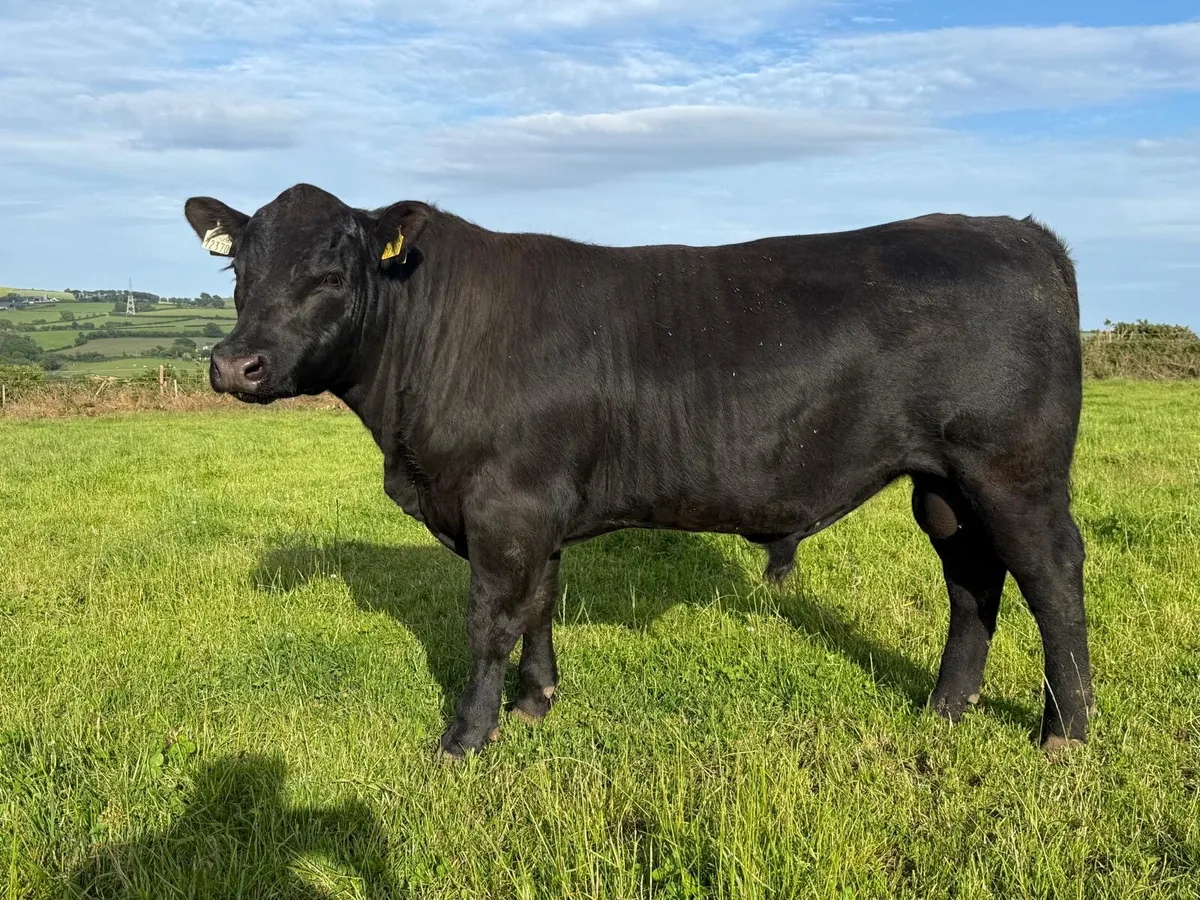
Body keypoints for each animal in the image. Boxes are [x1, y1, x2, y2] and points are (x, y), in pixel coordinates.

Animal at [185, 184, 1093, 758]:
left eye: (331, 274)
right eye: (237, 273)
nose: (234, 365)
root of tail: (1016, 230)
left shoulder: (503, 506)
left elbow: (489, 622)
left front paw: (466, 737)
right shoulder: (537, 510)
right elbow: (539, 607)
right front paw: (536, 702)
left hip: (1014, 470)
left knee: (1052, 578)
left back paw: (1065, 733)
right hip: (945, 484)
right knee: (972, 578)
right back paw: (946, 707)